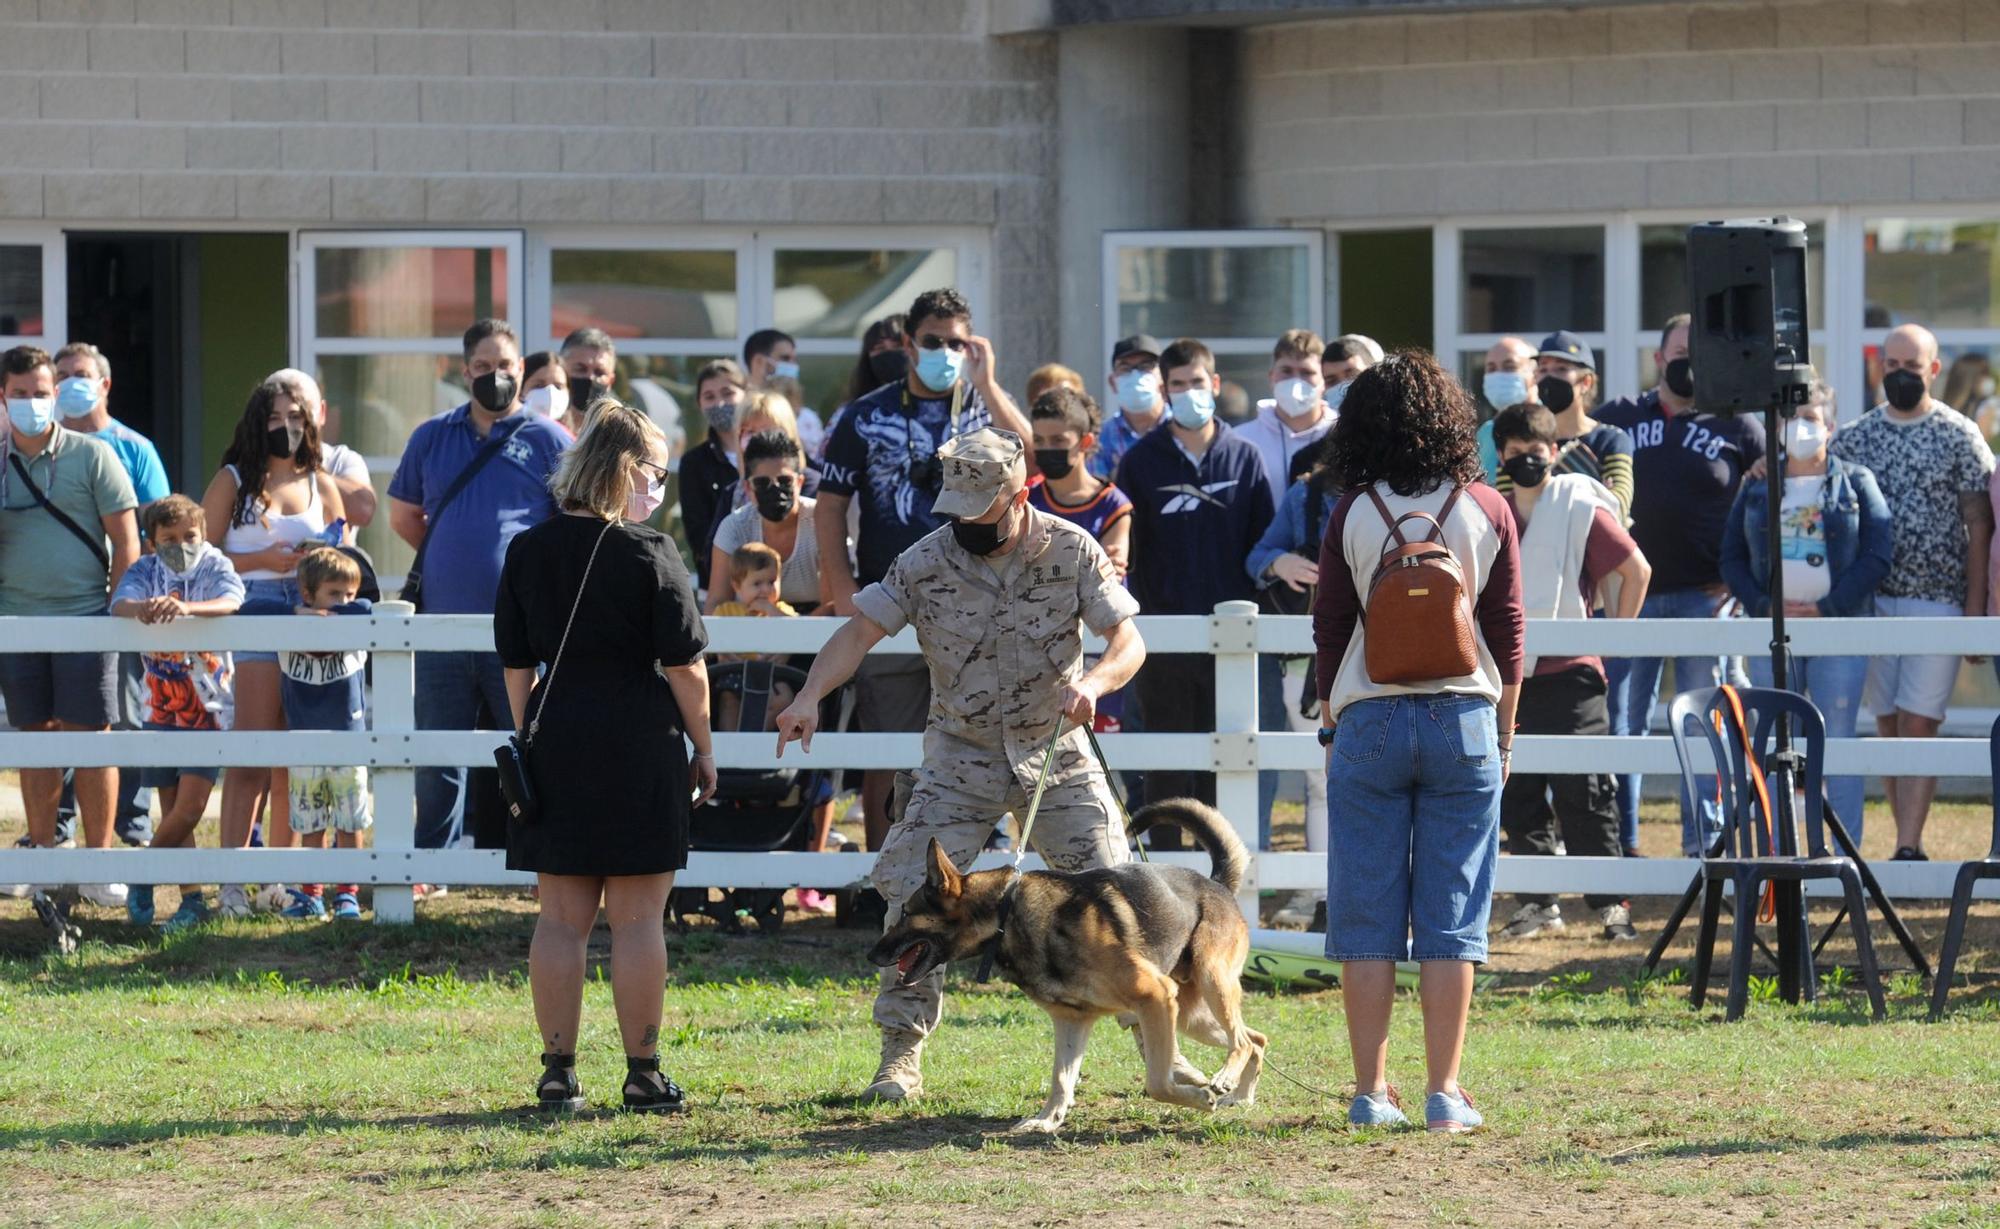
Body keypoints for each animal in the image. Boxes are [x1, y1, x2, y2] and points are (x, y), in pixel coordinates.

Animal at [868, 800, 1272, 1136]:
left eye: (906, 914)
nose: (873, 955)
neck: (1007, 915)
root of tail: (1217, 884)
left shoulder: (1154, 996)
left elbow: (1157, 1082)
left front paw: (1199, 1098)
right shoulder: (1072, 1021)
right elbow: (1061, 1078)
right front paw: (1048, 1120)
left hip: (1207, 985)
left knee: (1240, 1040)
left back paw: (1224, 1080)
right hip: (1191, 1016)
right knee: (1256, 1040)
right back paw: (1242, 1095)